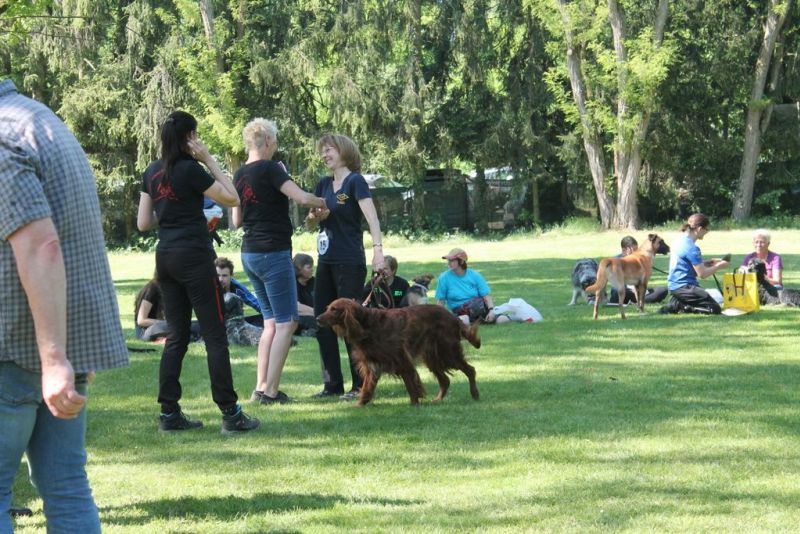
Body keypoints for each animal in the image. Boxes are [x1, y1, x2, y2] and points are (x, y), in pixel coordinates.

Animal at [316, 298, 481, 406]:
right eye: (328, 307)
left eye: (334, 309)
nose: (317, 318)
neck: (367, 326)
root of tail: (453, 317)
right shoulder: (373, 366)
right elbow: (367, 389)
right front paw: (359, 406)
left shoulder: (401, 359)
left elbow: (411, 385)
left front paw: (414, 404)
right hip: (432, 356)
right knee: (445, 380)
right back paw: (437, 400)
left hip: (447, 352)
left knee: (470, 370)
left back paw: (475, 395)